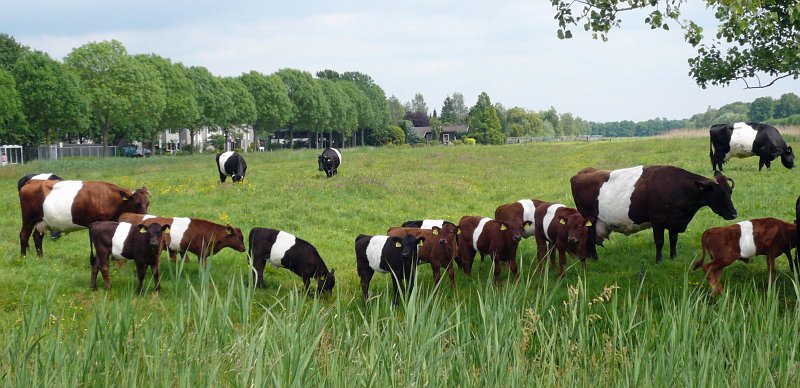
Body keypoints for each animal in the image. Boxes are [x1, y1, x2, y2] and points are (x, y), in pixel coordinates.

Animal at [18, 180, 149, 258]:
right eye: (137, 204)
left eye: (148, 203)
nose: (146, 217)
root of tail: (33, 181)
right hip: (28, 218)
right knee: (24, 235)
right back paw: (23, 257)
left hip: (42, 221)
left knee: (37, 236)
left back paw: (40, 257)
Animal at [568, 164, 736, 264]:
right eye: (720, 194)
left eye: (730, 191)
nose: (734, 214)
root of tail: (584, 171)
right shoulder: (658, 220)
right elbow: (659, 241)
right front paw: (659, 260)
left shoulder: (675, 221)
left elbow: (673, 240)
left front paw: (673, 257)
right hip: (590, 219)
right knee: (590, 238)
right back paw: (596, 259)